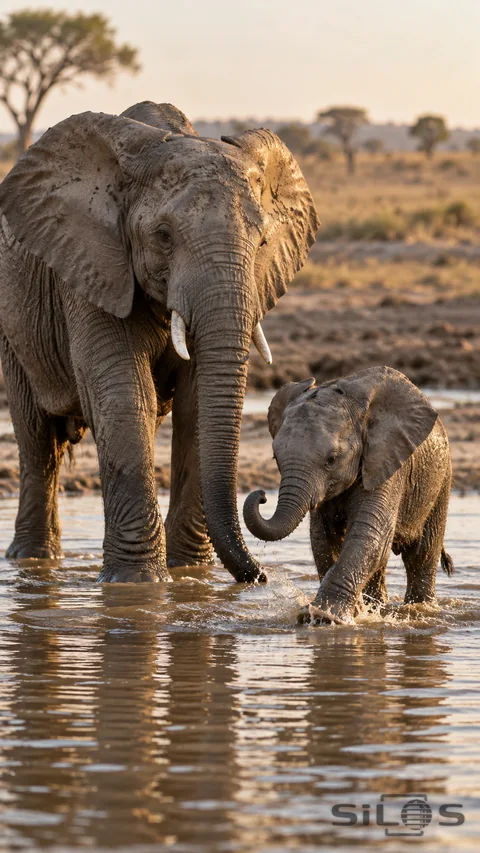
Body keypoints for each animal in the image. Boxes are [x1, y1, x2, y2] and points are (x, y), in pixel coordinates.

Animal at [0, 101, 319, 583]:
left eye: (262, 240)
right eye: (163, 237)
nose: (261, 576)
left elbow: (195, 405)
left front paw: (190, 575)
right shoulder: (94, 265)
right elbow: (124, 397)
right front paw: (136, 584)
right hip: (12, 324)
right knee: (38, 442)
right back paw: (31, 562)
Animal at [243, 367, 454, 624]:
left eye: (331, 459)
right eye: (276, 458)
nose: (262, 495)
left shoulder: (385, 464)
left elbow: (369, 536)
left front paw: (325, 617)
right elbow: (323, 539)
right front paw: (345, 613)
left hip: (441, 479)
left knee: (421, 555)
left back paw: (421, 610)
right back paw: (377, 610)